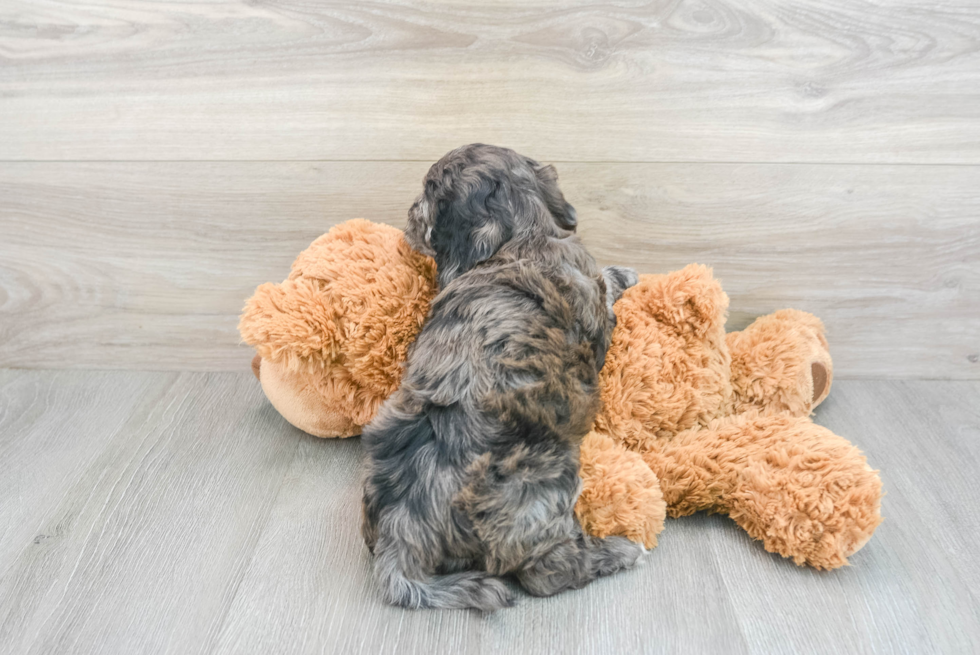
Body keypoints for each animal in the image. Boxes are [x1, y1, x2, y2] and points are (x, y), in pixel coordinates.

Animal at [360, 144, 644, 608]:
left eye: (426, 192)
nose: (409, 213)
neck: (522, 234)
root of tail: (402, 530)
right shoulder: (595, 298)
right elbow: (606, 284)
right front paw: (626, 274)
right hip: (547, 484)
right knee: (548, 574)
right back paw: (617, 551)